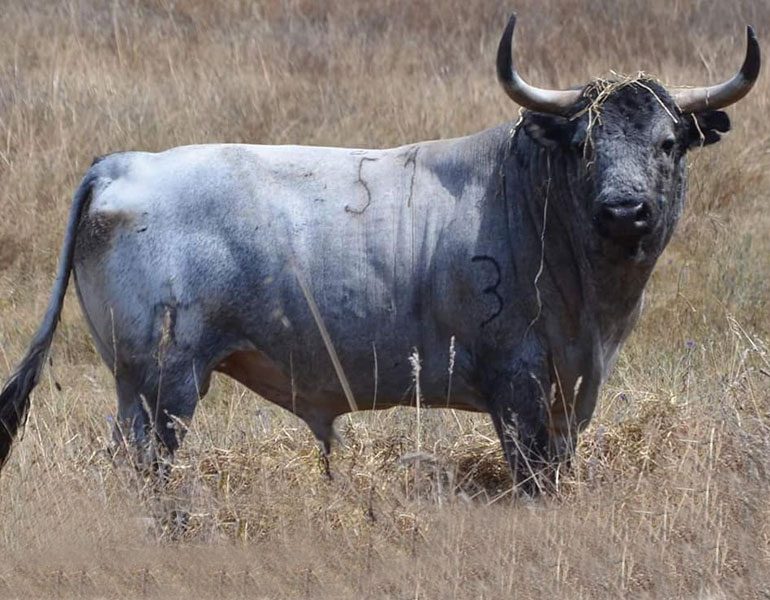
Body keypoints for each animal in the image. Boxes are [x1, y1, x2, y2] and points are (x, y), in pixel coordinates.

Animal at [0, 15, 760, 493]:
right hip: (163, 386)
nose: (625, 210)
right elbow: (534, 479)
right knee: (147, 472)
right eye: (584, 145)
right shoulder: (517, 389)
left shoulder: (566, 394)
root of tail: (121, 164)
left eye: (668, 142)